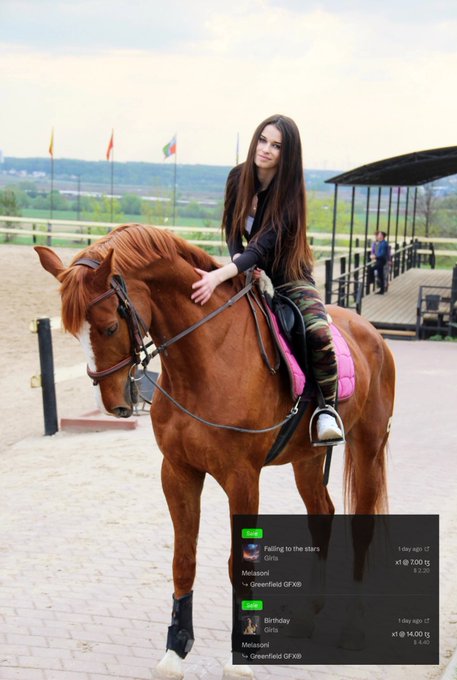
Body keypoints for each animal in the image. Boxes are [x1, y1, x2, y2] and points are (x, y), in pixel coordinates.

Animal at [35, 223, 395, 679]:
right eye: (73, 332)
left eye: (109, 327)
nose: (113, 403)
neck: (206, 358)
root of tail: (373, 333)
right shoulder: (178, 472)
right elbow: (183, 560)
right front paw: (175, 649)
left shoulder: (242, 478)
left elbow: (239, 563)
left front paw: (242, 654)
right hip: (307, 460)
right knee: (322, 515)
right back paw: (309, 615)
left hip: (368, 449)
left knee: (361, 526)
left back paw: (353, 628)